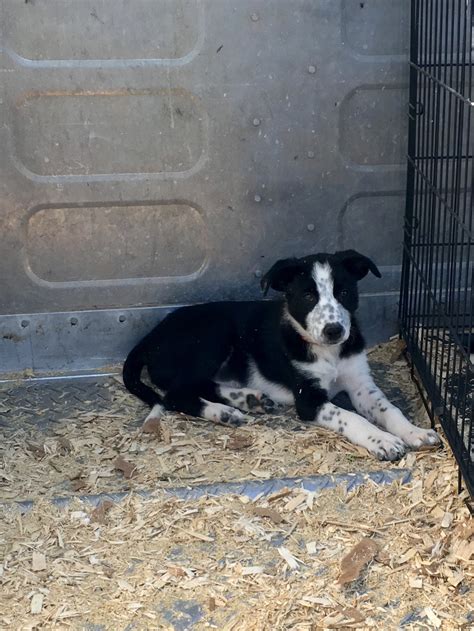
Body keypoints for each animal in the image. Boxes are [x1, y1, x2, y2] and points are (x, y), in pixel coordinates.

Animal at [123, 249, 440, 462]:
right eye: (308, 296)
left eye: (343, 292)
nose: (334, 330)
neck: (329, 353)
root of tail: (150, 336)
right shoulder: (308, 399)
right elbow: (350, 417)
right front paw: (382, 440)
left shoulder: (361, 384)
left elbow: (389, 409)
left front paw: (414, 432)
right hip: (213, 337)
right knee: (176, 395)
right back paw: (223, 412)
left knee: (201, 386)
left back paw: (248, 399)